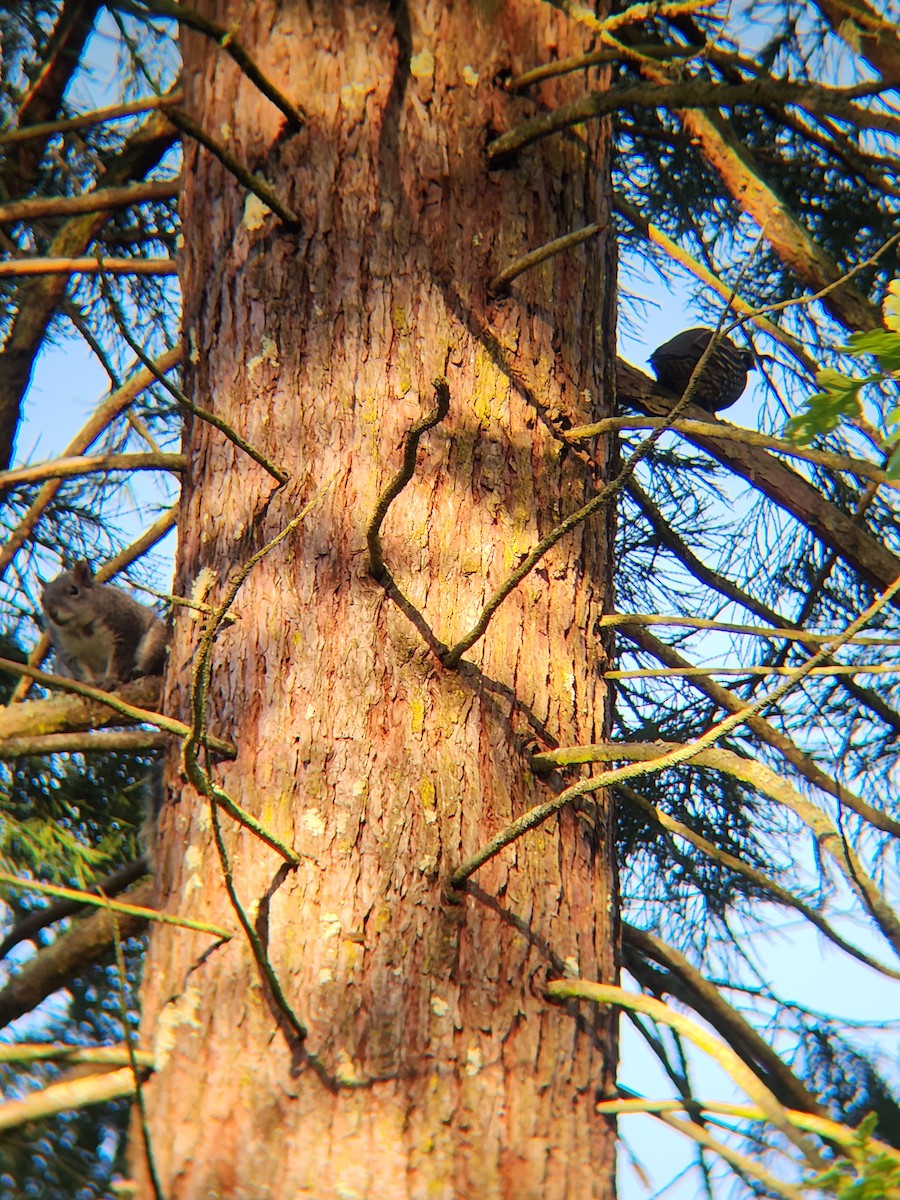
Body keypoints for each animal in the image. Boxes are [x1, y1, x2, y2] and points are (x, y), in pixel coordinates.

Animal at [40, 559, 169, 691]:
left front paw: (110, 679)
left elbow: (119, 660)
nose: (52, 614)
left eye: (74, 590)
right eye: (42, 600)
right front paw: (88, 683)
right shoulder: (68, 651)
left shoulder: (124, 629)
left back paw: (135, 672)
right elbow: (80, 669)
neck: (81, 627)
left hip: (155, 640)